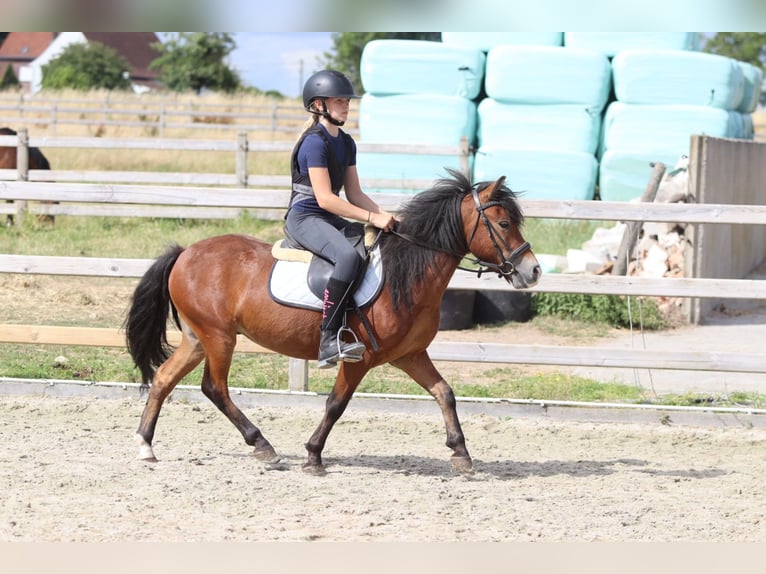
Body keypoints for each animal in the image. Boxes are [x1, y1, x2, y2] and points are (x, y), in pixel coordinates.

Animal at [124, 169, 541, 475]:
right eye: (503, 224)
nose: (533, 271)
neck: (406, 274)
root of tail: (185, 253)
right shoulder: (360, 358)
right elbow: (336, 404)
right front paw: (313, 456)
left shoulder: (409, 355)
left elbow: (445, 393)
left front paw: (461, 453)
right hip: (219, 337)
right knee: (214, 388)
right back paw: (263, 446)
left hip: (197, 338)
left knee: (164, 379)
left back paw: (145, 445)